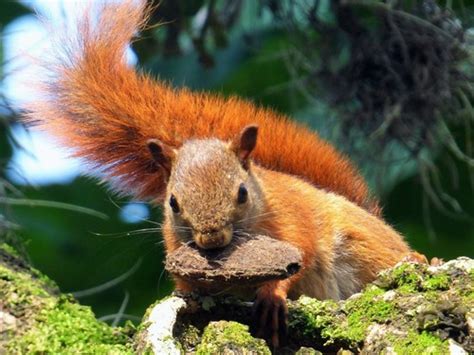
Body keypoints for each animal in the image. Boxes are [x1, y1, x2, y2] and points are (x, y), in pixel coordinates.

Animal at [23, 0, 426, 350]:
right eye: (172, 202)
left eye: (243, 193)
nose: (212, 239)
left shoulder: (292, 218)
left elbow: (301, 256)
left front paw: (271, 296)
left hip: (360, 242)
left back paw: (421, 260)